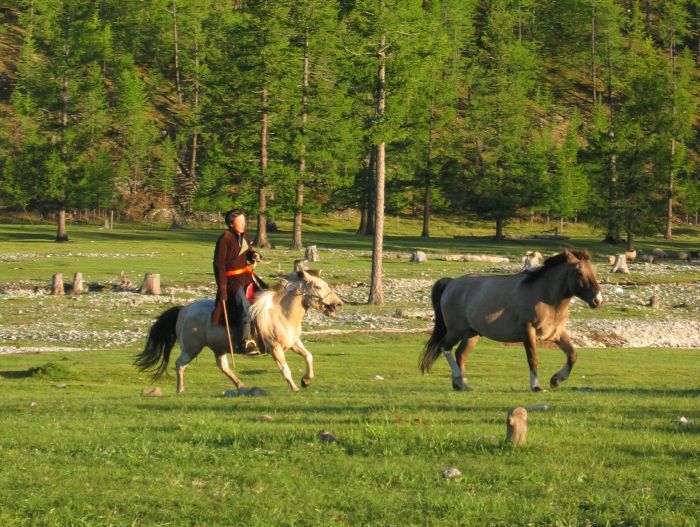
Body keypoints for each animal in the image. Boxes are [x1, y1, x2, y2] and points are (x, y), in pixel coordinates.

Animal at [134, 270, 342, 394]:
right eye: (318, 286)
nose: (339, 304)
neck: (280, 313)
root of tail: (184, 310)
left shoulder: (293, 343)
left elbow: (309, 357)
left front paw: (306, 380)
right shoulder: (275, 348)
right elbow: (285, 369)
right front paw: (294, 387)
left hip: (219, 348)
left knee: (223, 366)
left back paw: (241, 385)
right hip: (192, 349)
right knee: (180, 364)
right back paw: (180, 389)